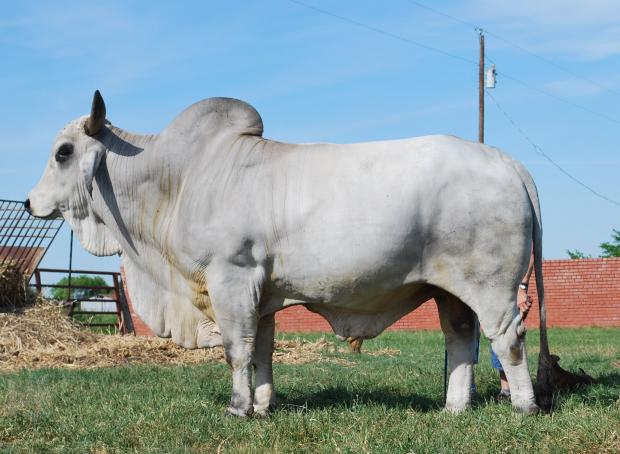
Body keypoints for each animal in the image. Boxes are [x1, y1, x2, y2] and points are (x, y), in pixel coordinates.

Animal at [26, 90, 556, 416]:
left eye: (63, 152)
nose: (31, 202)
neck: (179, 178)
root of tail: (504, 160)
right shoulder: (261, 294)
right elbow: (262, 350)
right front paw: (263, 404)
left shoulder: (231, 278)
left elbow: (236, 349)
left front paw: (238, 408)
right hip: (449, 289)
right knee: (461, 338)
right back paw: (453, 408)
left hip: (492, 285)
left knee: (507, 339)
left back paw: (524, 406)